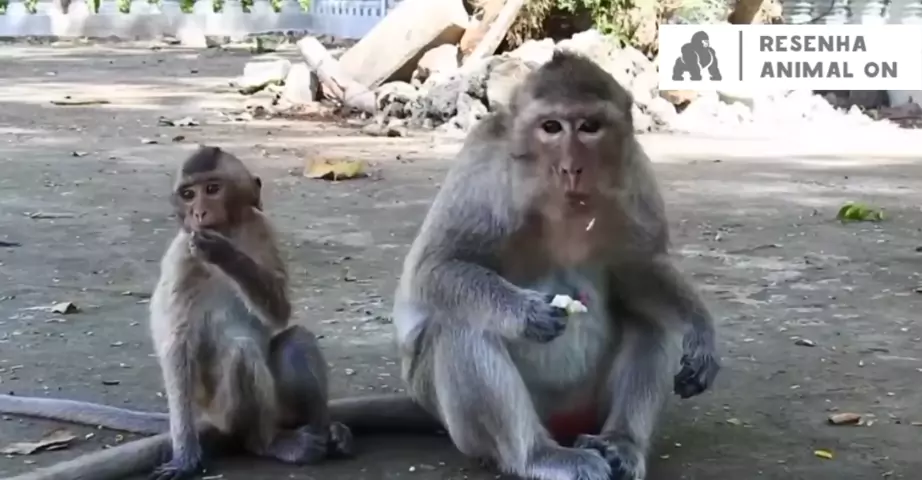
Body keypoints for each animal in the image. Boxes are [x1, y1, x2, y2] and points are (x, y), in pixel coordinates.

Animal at [389, 49, 721, 480]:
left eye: (589, 128)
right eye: (551, 127)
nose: (571, 167)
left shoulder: (635, 174)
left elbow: (640, 267)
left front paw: (701, 330)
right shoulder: (481, 170)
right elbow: (434, 268)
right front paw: (525, 311)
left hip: (589, 406)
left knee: (651, 318)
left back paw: (620, 442)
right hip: (466, 423)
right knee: (458, 324)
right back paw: (538, 455)